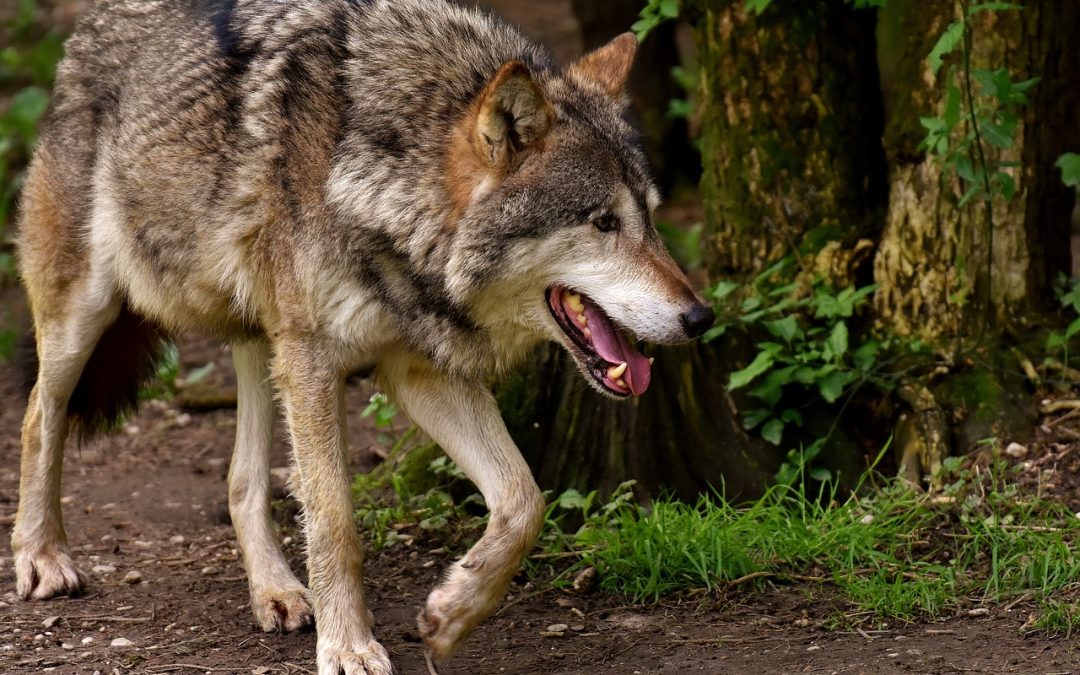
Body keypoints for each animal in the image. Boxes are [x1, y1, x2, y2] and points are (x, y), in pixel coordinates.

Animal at [10, 0, 717, 669]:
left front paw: (452, 614)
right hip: (88, 315)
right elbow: (335, 522)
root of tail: (88, 25)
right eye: (603, 222)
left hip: (263, 341)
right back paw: (41, 557)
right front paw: (348, 647)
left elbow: (524, 501)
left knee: (241, 480)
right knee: (39, 415)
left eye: (651, 219)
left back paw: (276, 592)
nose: (700, 318)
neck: (383, 185)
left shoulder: (417, 371)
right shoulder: (316, 362)